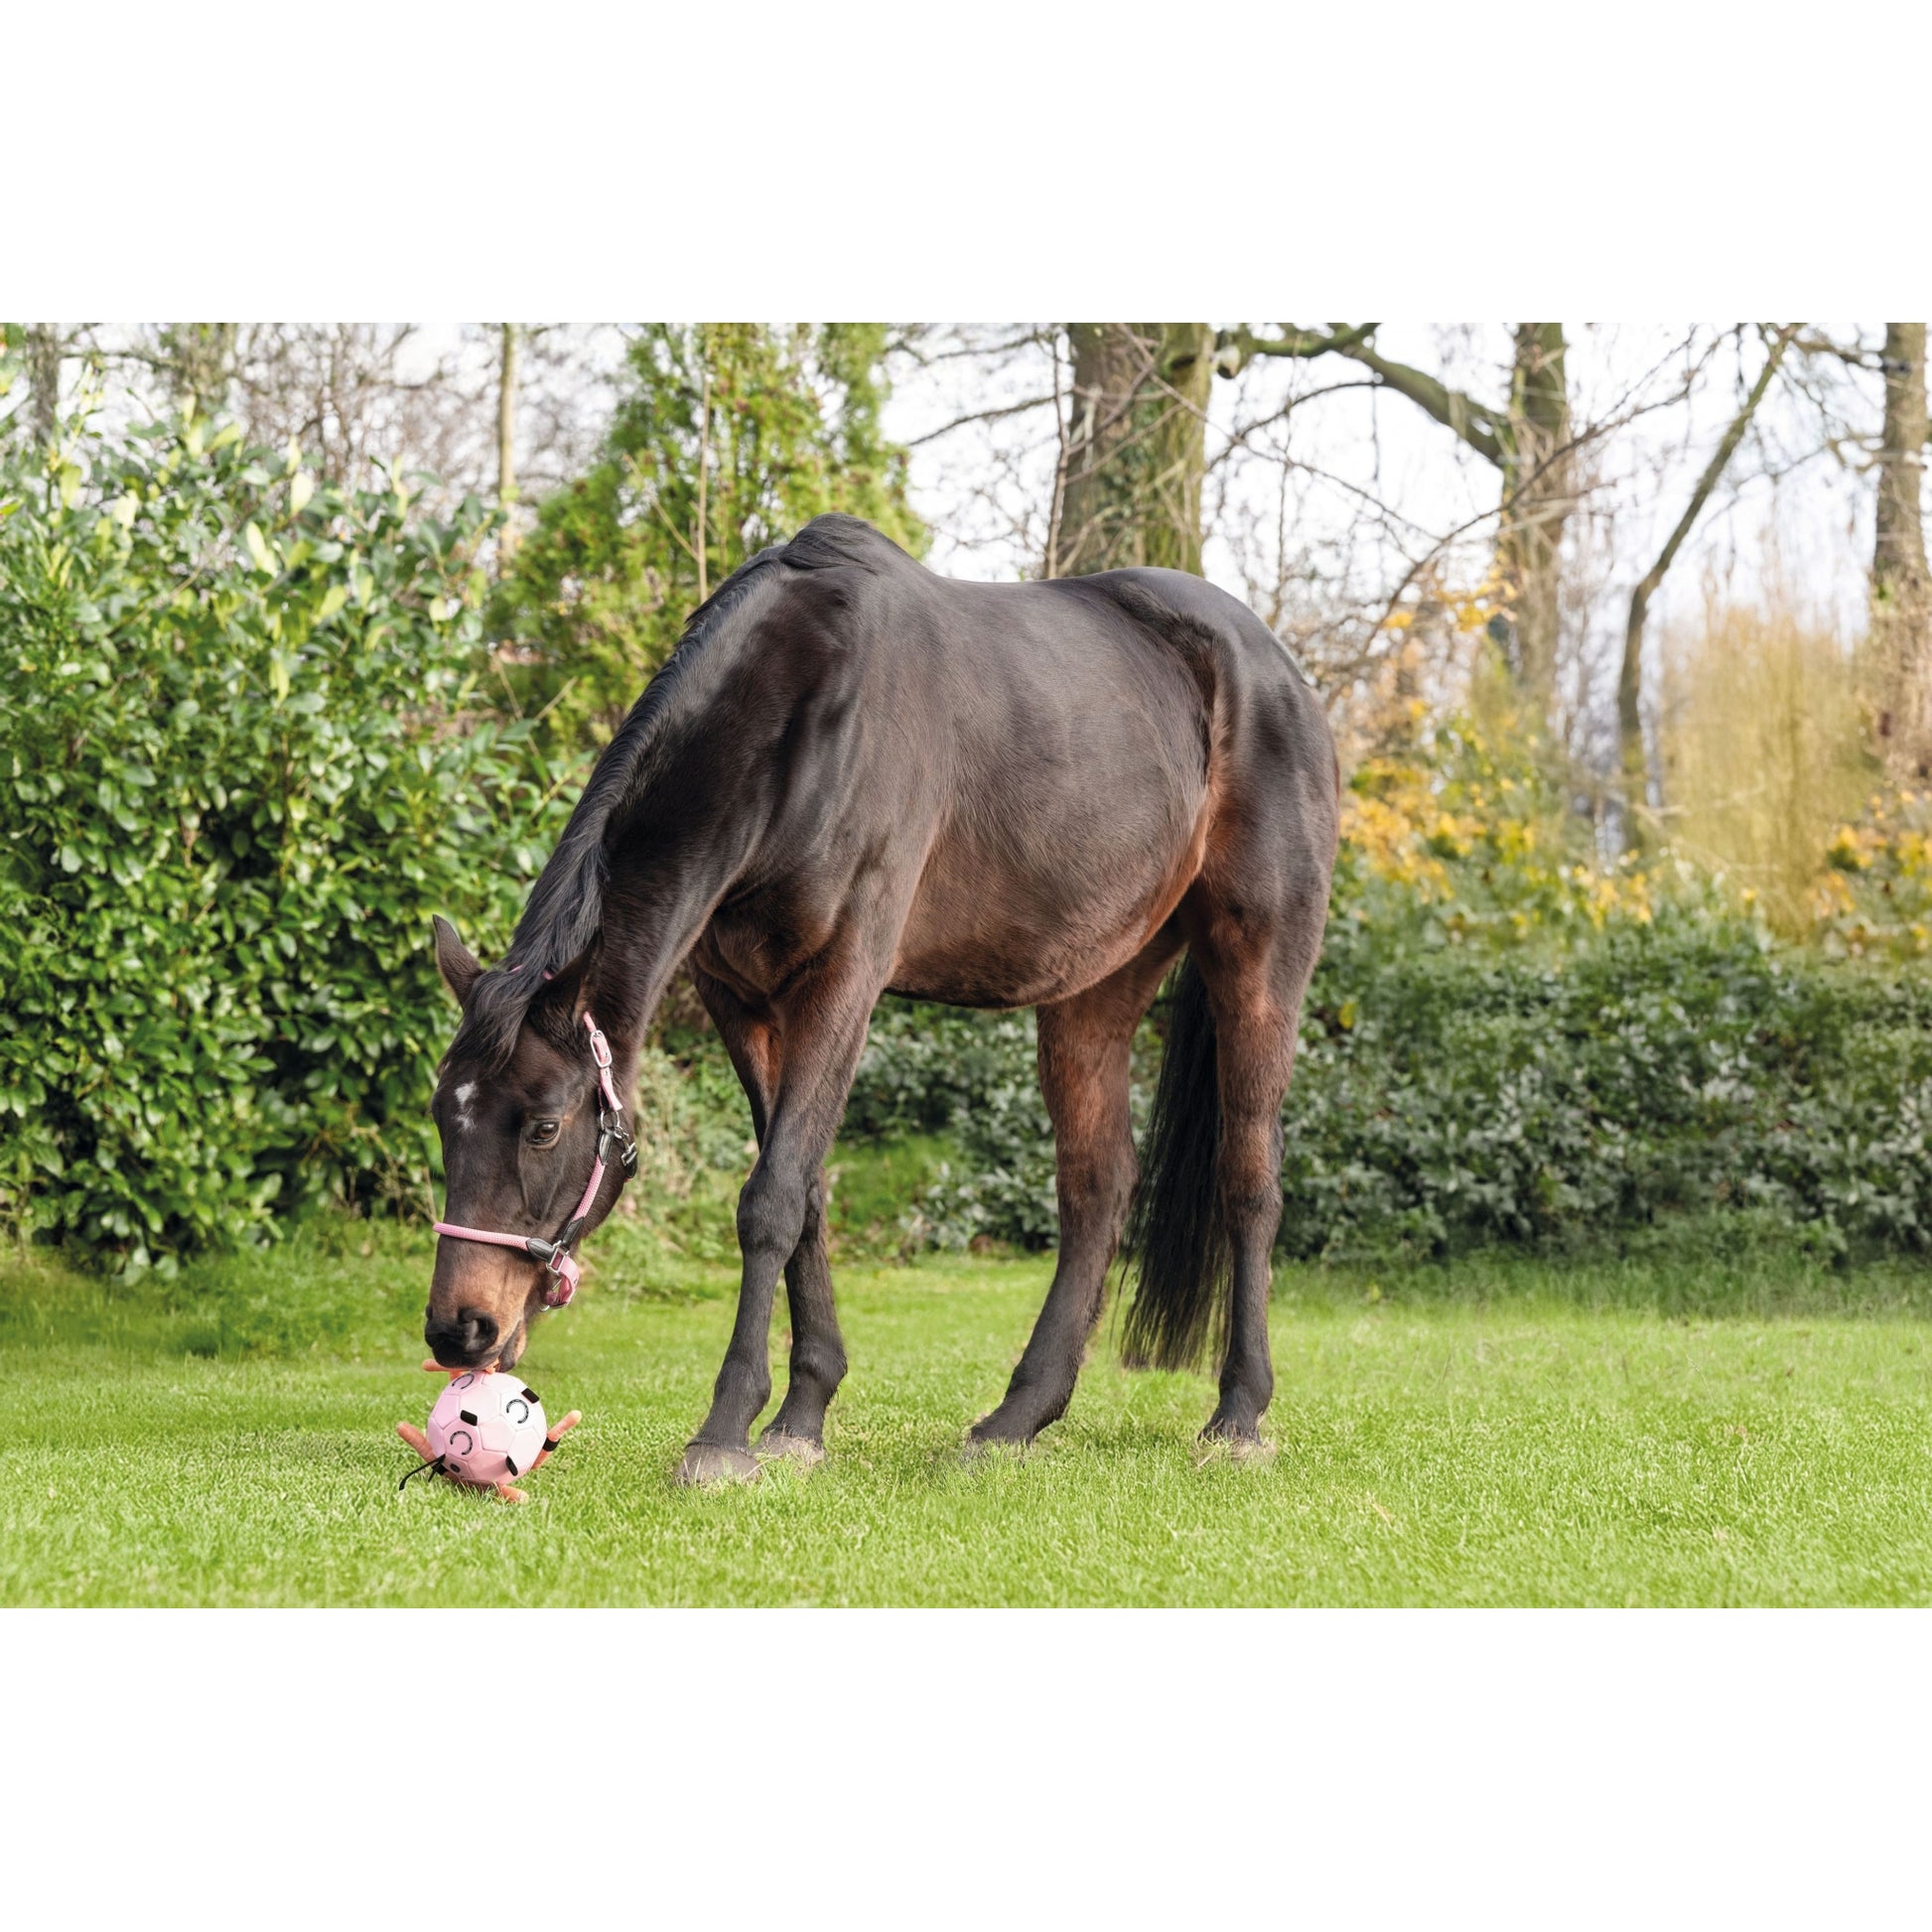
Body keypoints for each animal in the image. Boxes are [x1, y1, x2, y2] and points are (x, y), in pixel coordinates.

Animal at [425, 513, 1338, 1483]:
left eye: (544, 1127)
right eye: (444, 1117)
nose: (459, 1330)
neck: (805, 716)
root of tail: (1276, 669)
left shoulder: (844, 981)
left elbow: (771, 1199)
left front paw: (725, 1432)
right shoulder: (742, 1000)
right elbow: (806, 1195)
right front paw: (801, 1415)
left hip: (1260, 961)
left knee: (1249, 1178)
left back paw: (1238, 1415)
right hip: (1095, 988)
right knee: (1096, 1188)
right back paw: (1015, 1417)